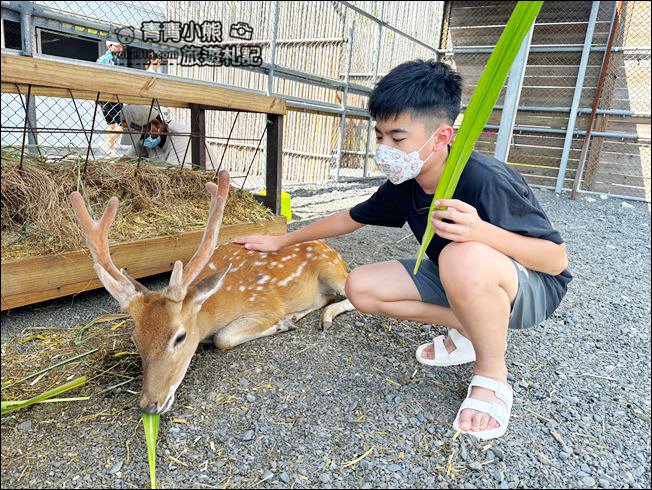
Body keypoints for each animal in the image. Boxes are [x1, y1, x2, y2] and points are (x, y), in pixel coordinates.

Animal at [69, 170, 355, 415]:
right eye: (136, 338)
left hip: (332, 270)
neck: (215, 308)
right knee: (325, 297)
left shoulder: (265, 305)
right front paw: (288, 321)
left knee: (346, 293)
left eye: (180, 337)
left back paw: (320, 318)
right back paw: (298, 316)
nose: (149, 404)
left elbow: (223, 338)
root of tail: (333, 250)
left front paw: (281, 324)